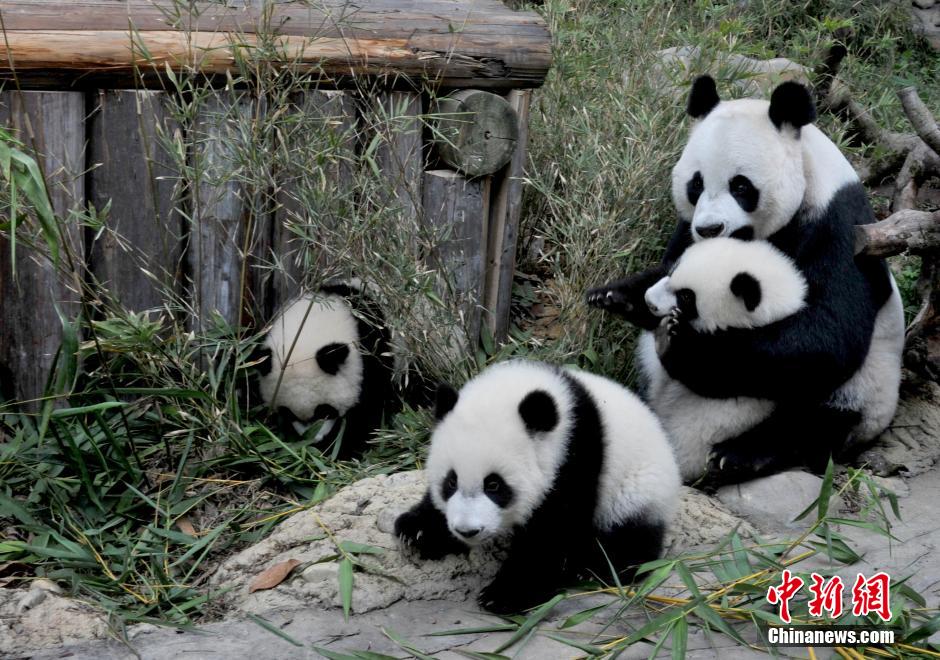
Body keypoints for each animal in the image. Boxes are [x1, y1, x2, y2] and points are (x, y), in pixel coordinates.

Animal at [254, 282, 397, 460]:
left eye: (325, 411)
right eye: (288, 413)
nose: (315, 440)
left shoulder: (371, 351)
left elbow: (367, 410)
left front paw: (341, 448)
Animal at [394, 359, 680, 614]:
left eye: (494, 484)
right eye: (451, 481)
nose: (467, 530)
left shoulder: (576, 457)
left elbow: (553, 531)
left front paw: (507, 594)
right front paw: (418, 530)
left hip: (637, 490)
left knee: (630, 537)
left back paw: (594, 567)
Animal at [587, 76, 904, 483]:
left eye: (741, 186)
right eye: (695, 184)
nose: (710, 228)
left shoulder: (841, 229)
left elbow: (829, 333)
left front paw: (686, 347)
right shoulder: (687, 230)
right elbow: (670, 264)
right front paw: (616, 296)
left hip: (871, 386)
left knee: (815, 417)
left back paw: (740, 455)